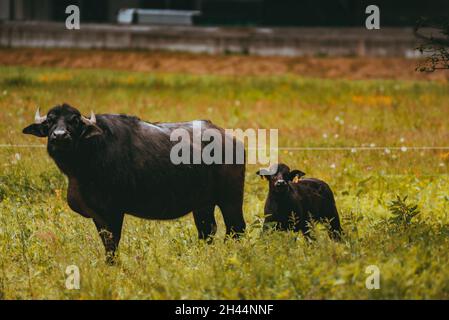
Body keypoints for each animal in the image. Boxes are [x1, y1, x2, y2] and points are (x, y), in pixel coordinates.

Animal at [23, 104, 245, 264]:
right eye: (50, 121)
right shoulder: (97, 215)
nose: (59, 135)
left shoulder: (113, 212)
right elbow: (106, 241)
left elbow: (112, 243)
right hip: (202, 205)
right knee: (207, 231)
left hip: (231, 200)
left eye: (75, 121)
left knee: (236, 229)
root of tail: (232, 141)